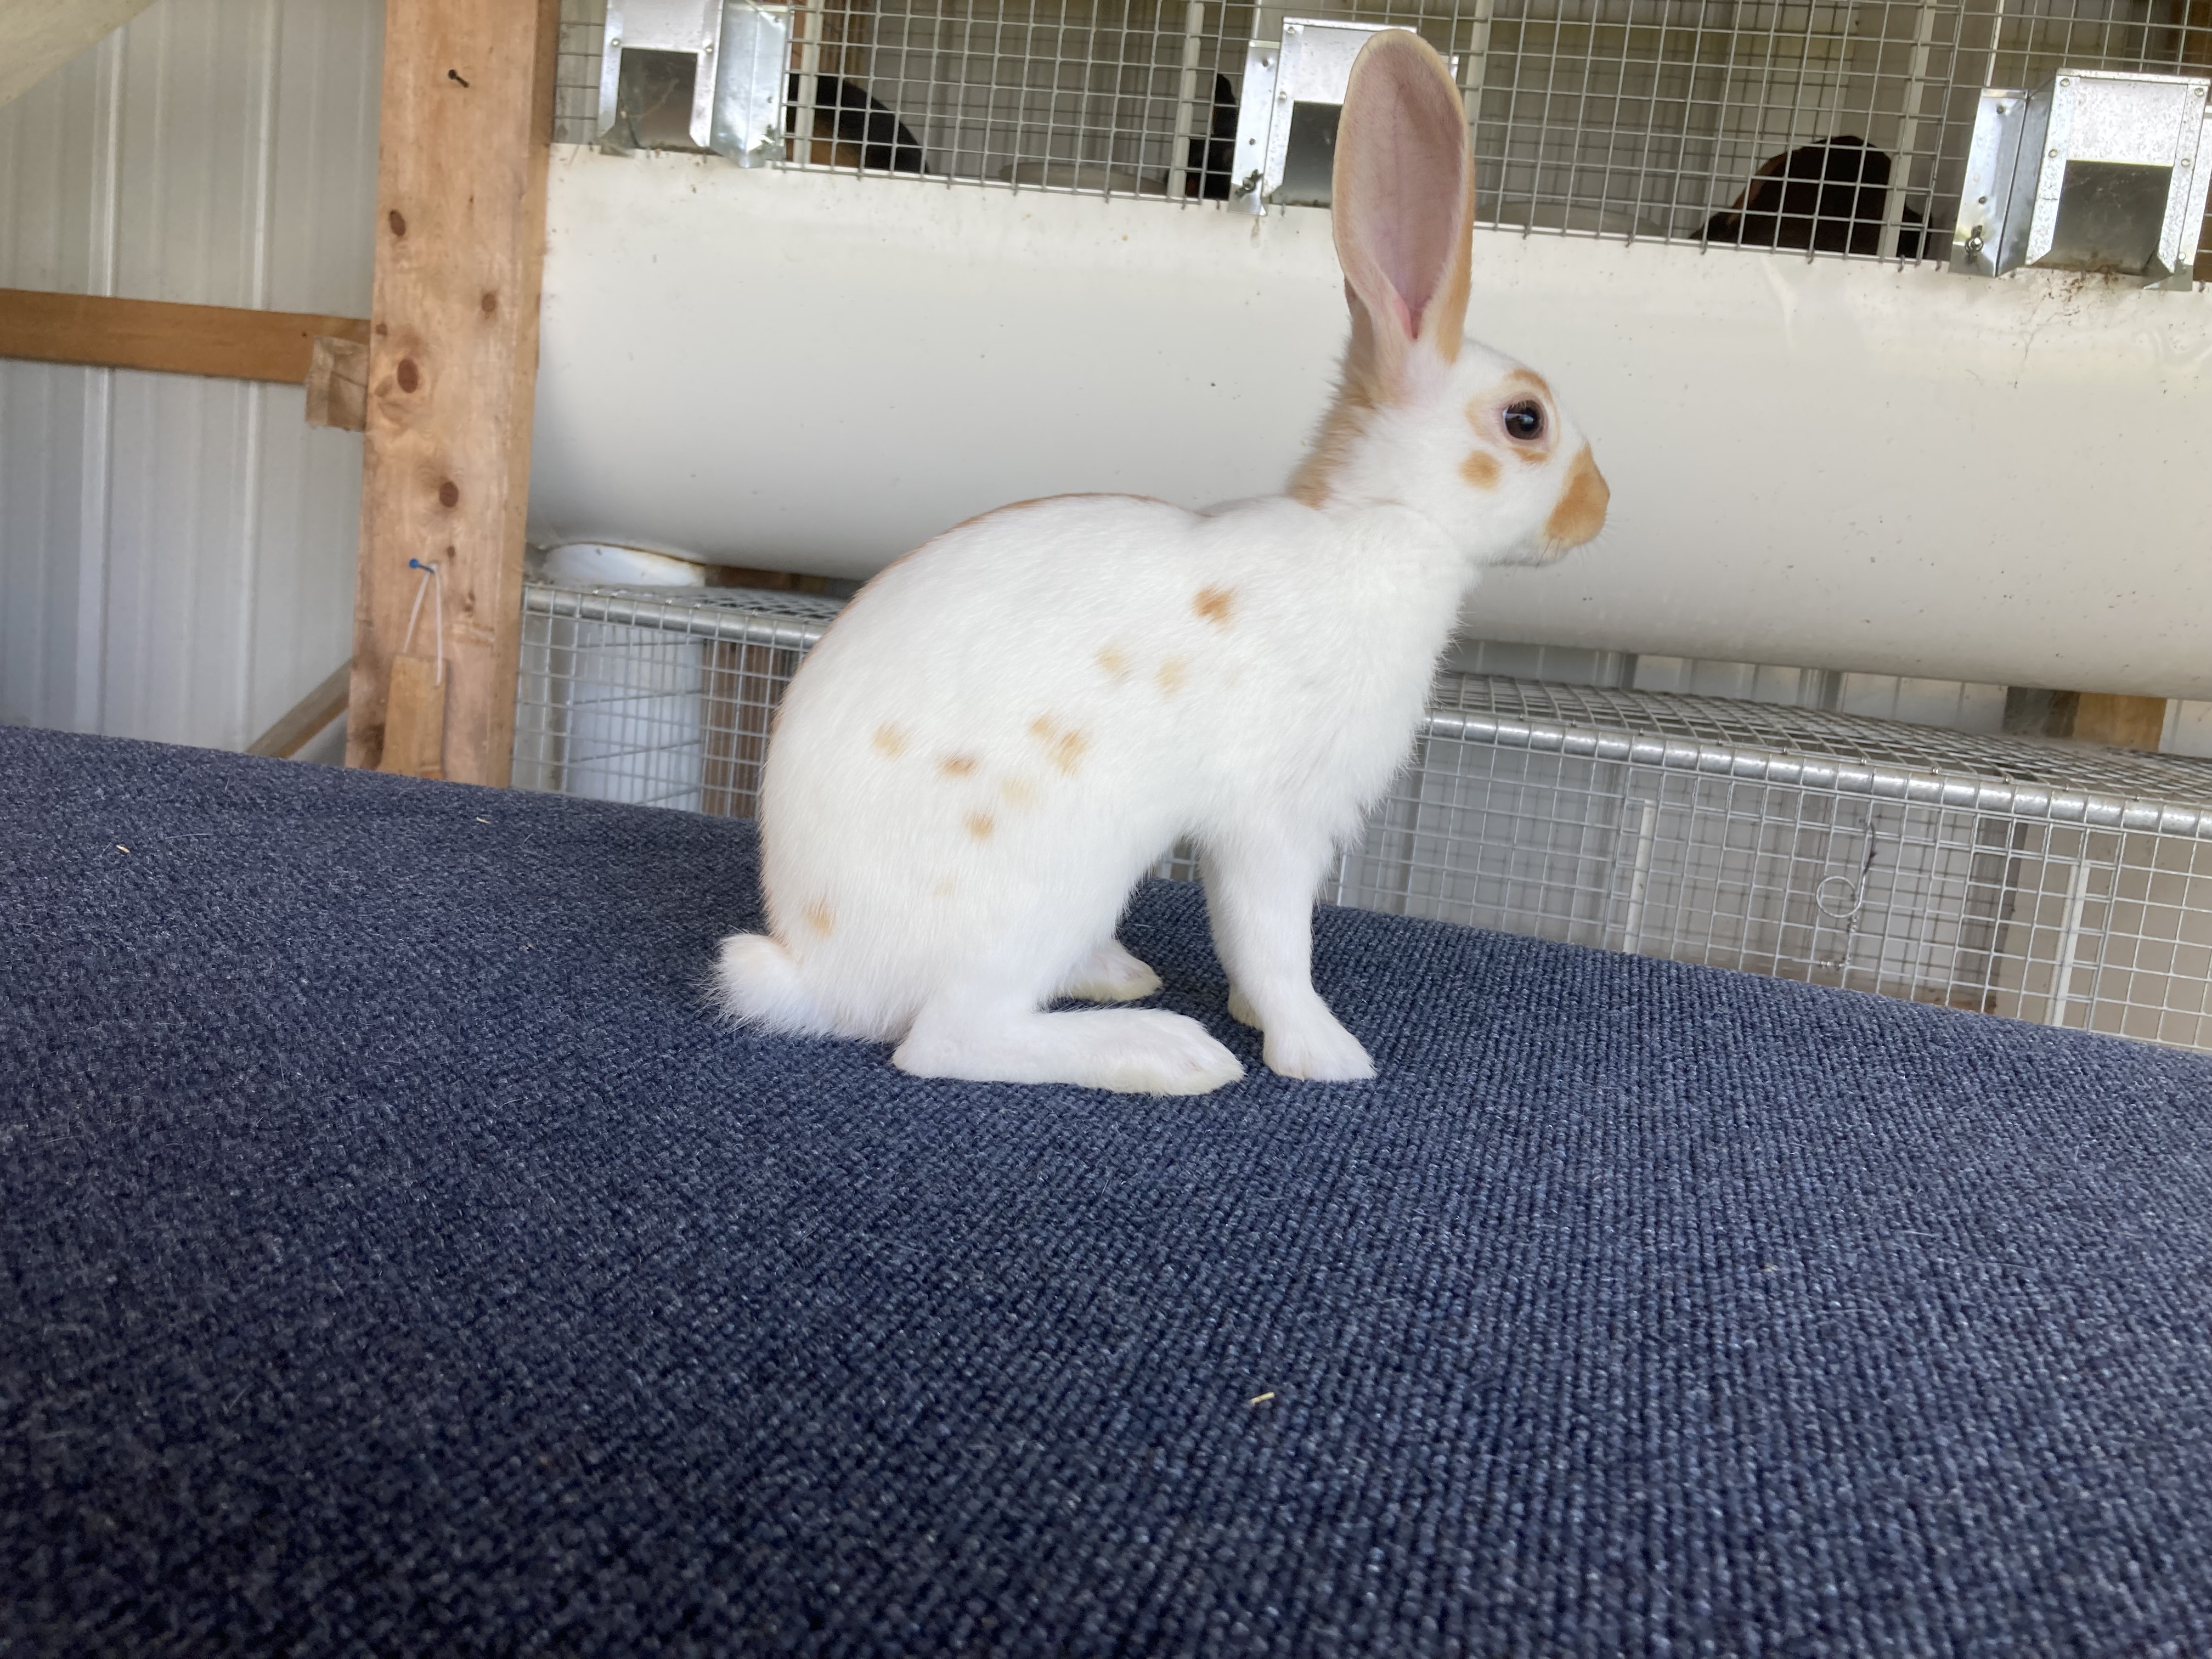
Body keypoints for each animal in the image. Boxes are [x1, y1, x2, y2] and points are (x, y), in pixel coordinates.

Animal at [715, 31, 1609, 1095]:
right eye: (1525, 421)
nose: (1601, 507)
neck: (1384, 525)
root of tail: (816, 969)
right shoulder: (1272, 824)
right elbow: (1272, 940)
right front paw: (1324, 1055)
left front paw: (1260, 1017)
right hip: (1053, 876)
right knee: (948, 1038)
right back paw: (1167, 1050)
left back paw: (1119, 976)